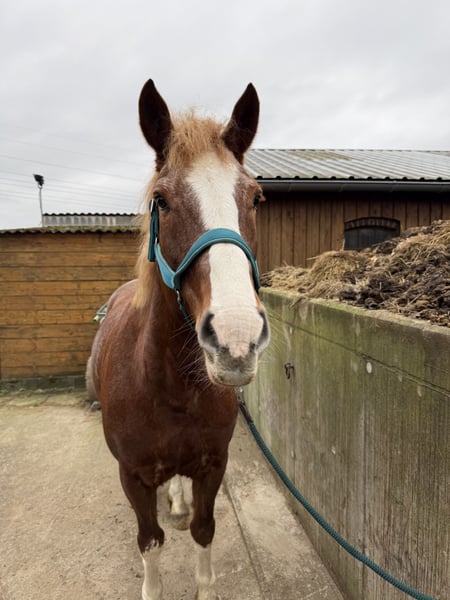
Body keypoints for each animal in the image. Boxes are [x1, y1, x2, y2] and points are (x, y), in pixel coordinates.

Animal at [88, 79, 270, 600]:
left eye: (255, 198)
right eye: (162, 200)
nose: (236, 338)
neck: (168, 386)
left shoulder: (212, 465)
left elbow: (204, 531)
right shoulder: (133, 477)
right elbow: (150, 542)